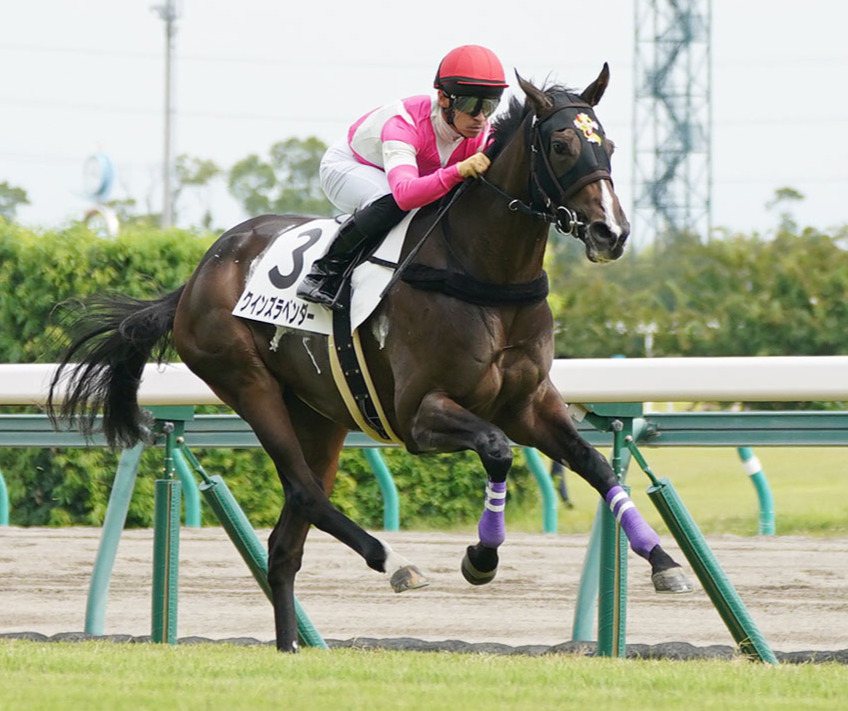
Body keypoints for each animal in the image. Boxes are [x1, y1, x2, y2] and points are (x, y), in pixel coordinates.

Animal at [49, 65, 692, 652]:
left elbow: (597, 465)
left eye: (607, 144)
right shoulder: (419, 415)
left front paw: (663, 561)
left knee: (287, 540)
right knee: (307, 491)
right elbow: (496, 450)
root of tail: (196, 276)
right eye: (560, 146)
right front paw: (480, 556)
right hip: (247, 382)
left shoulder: (529, 403)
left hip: (319, 415)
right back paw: (395, 562)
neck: (486, 274)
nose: (612, 232)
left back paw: (291, 648)